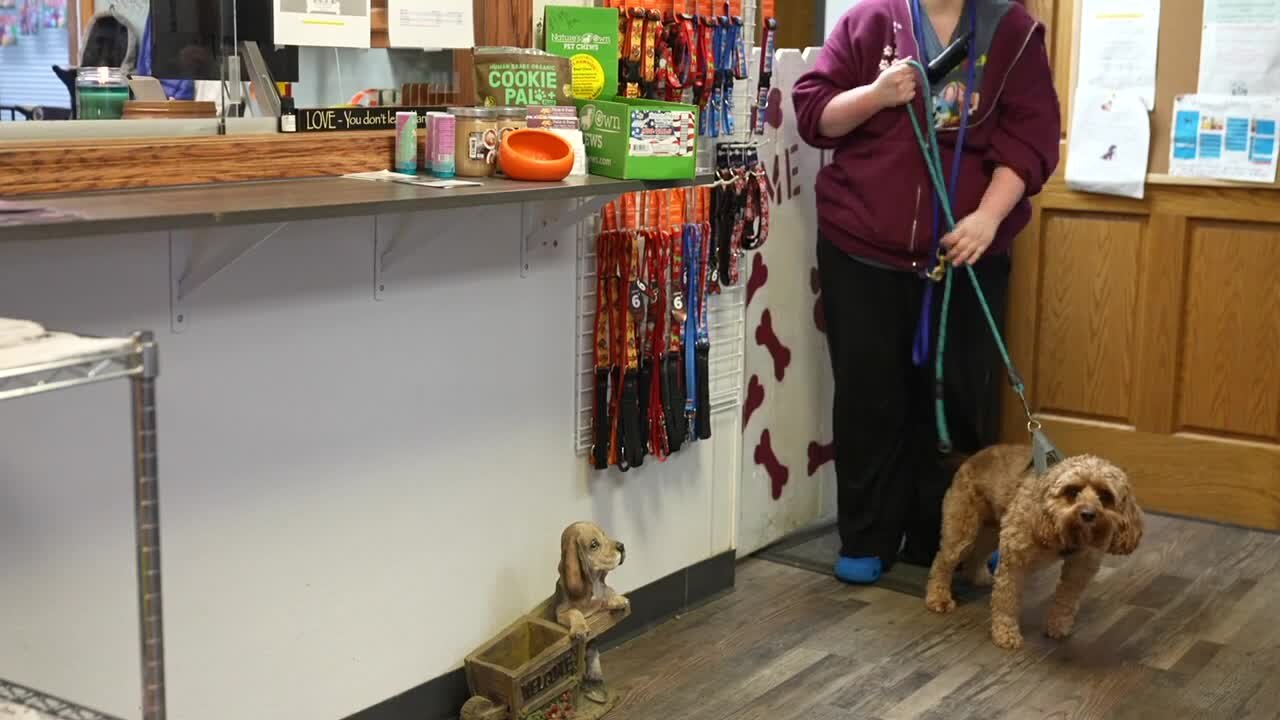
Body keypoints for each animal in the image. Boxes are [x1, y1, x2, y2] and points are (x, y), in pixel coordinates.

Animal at [926, 443, 1146, 650]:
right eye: (1072, 491)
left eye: (1105, 495)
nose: (1088, 514)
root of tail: (971, 458)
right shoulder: (1014, 559)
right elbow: (1006, 600)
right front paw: (1006, 634)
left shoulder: (1081, 566)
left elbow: (1066, 599)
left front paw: (1058, 626)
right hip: (962, 532)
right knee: (942, 562)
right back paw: (938, 598)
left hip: (991, 530)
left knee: (976, 556)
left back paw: (978, 577)